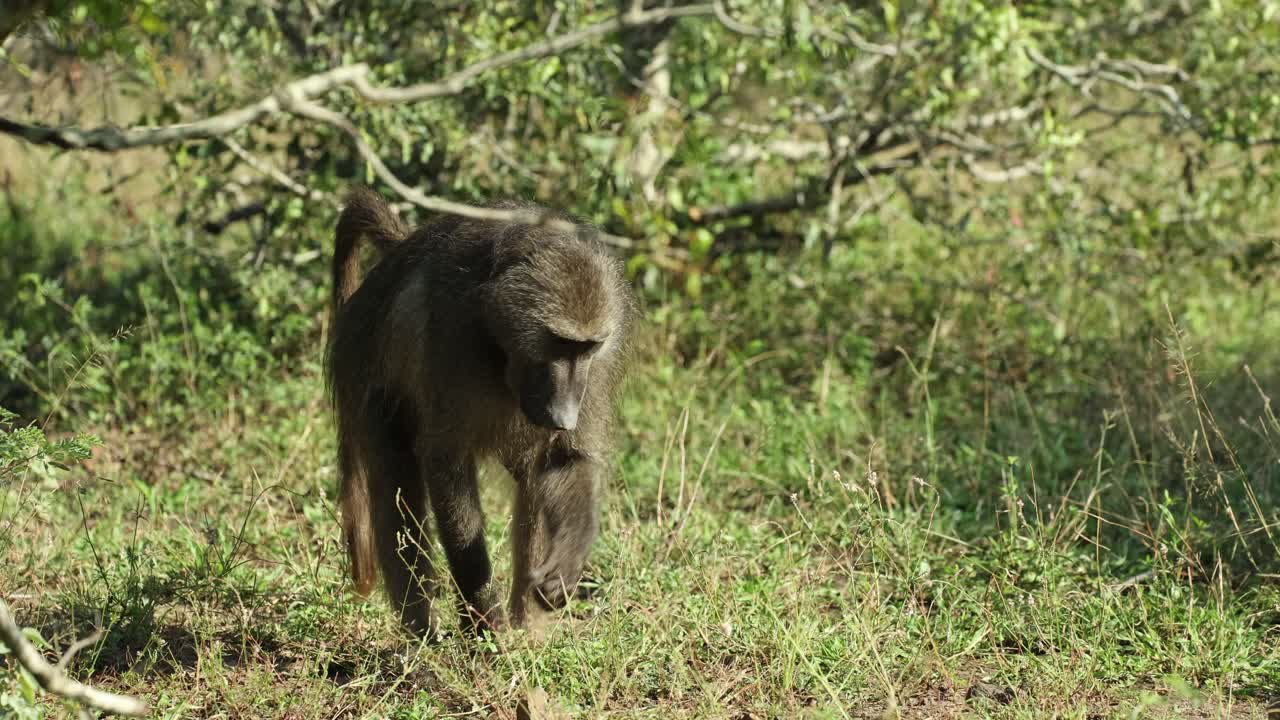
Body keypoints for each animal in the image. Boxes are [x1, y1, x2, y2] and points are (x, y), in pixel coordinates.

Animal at [326, 187, 632, 637]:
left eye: (587, 347)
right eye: (559, 342)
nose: (563, 416)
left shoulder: (596, 370)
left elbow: (564, 458)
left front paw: (564, 568)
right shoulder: (449, 330)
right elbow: (445, 465)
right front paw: (482, 619)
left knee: (533, 476)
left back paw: (529, 630)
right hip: (364, 362)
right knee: (396, 482)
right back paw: (421, 632)